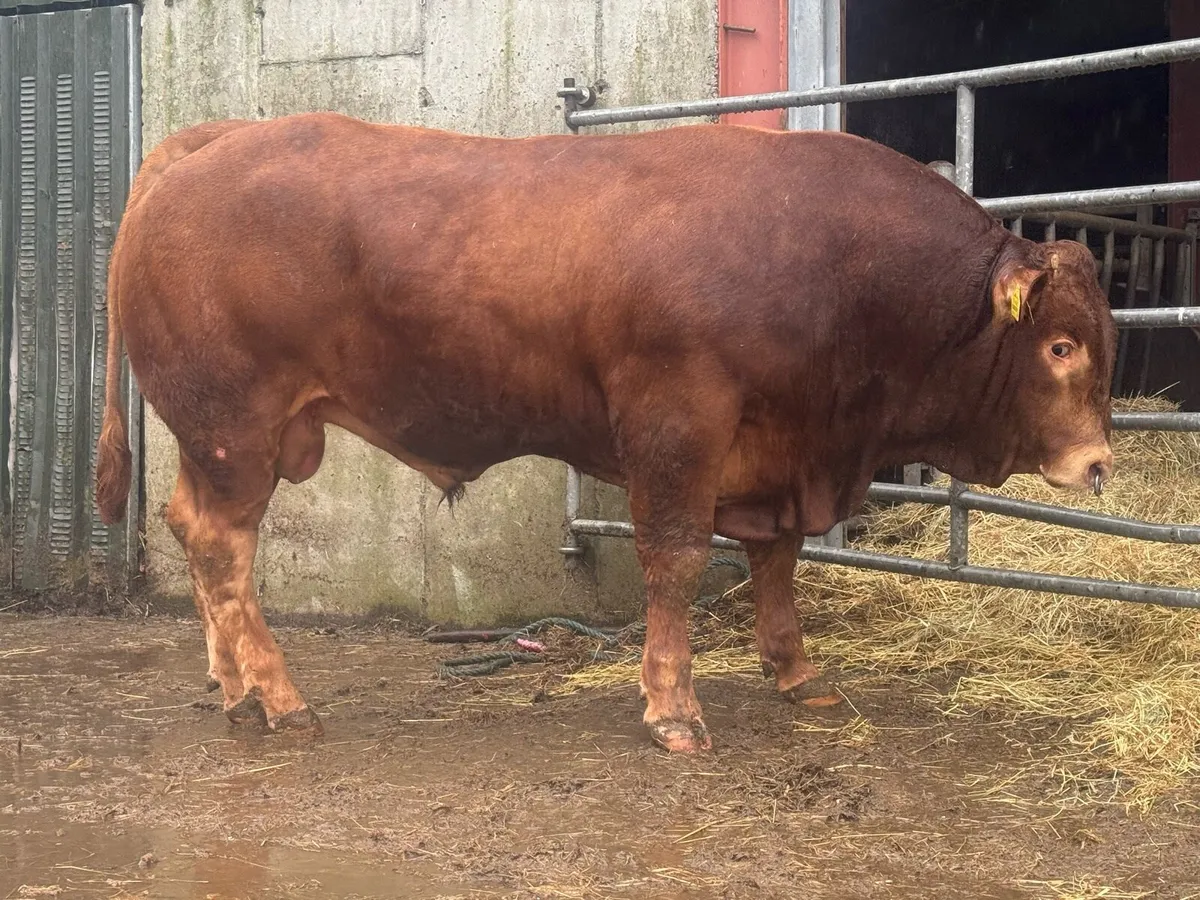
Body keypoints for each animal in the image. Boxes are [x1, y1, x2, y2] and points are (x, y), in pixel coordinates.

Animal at [95, 112, 1117, 754]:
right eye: (1061, 344)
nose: (1100, 462)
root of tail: (213, 140)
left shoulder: (776, 454)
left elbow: (778, 561)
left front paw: (796, 672)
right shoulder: (677, 420)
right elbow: (675, 556)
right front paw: (673, 710)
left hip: (216, 439)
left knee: (193, 533)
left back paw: (235, 691)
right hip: (234, 427)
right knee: (225, 548)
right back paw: (281, 698)